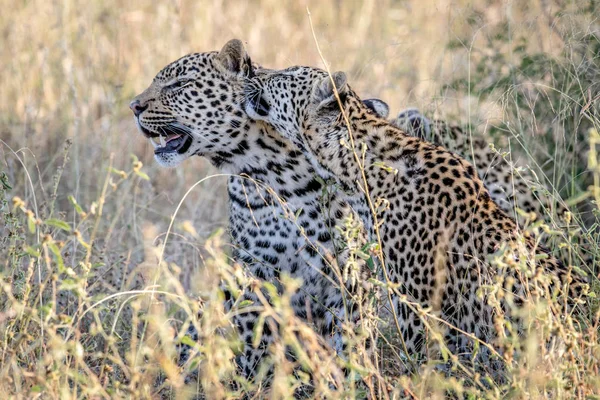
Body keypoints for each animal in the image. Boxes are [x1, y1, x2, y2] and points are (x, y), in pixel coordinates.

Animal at [131, 40, 376, 382]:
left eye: (179, 85)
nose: (133, 107)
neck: (277, 173)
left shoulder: (350, 271)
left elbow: (353, 339)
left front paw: (356, 379)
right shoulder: (256, 269)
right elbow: (257, 337)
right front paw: (258, 383)